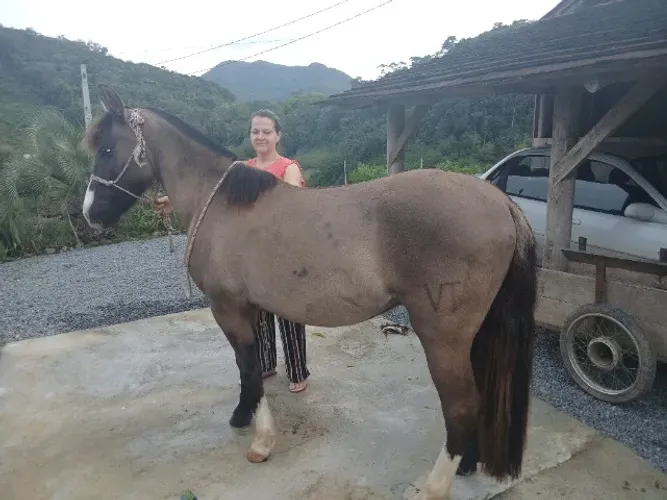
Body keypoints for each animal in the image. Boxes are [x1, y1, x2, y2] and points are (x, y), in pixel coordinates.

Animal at [81, 85, 538, 500]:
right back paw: (467, 464)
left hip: (442, 336)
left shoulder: (227, 308)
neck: (222, 203)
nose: (88, 215)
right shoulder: (248, 308)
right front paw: (242, 415)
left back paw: (434, 487)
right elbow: (249, 368)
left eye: (106, 148)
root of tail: (502, 203)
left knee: (461, 405)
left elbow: (248, 366)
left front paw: (261, 440)